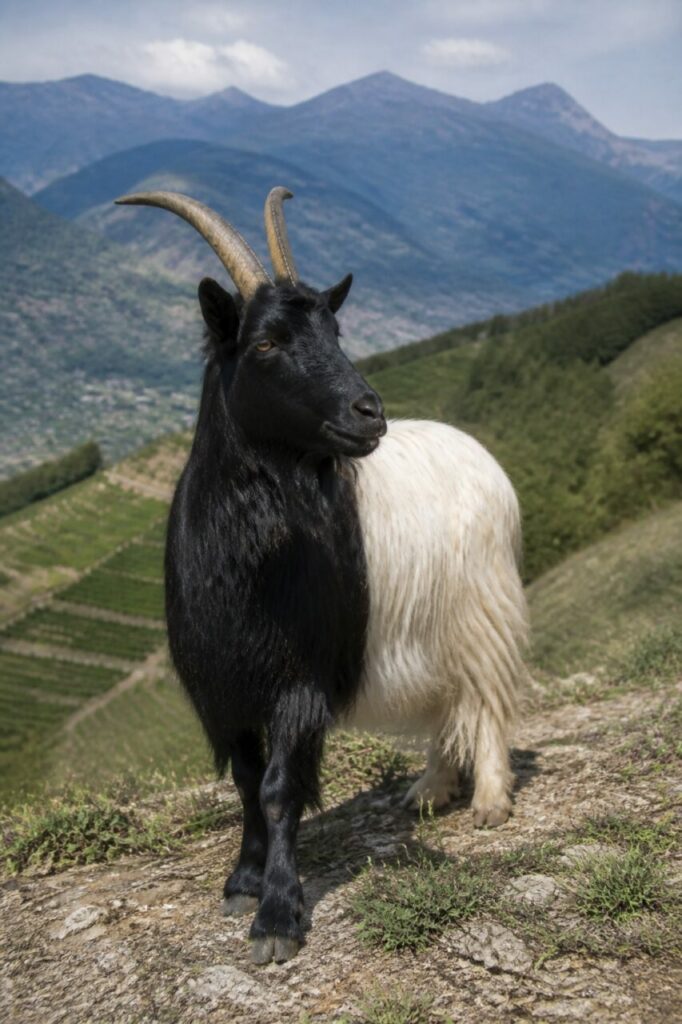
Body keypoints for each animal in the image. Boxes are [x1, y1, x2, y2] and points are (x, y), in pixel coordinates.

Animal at [115, 186, 528, 965]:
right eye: (266, 343)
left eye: (335, 332)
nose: (369, 413)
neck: (246, 563)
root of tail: (479, 453)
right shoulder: (222, 689)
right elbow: (247, 783)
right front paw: (243, 880)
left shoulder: (296, 680)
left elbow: (280, 788)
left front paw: (278, 917)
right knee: (447, 706)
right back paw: (430, 790)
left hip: (478, 605)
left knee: (484, 698)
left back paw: (489, 799)